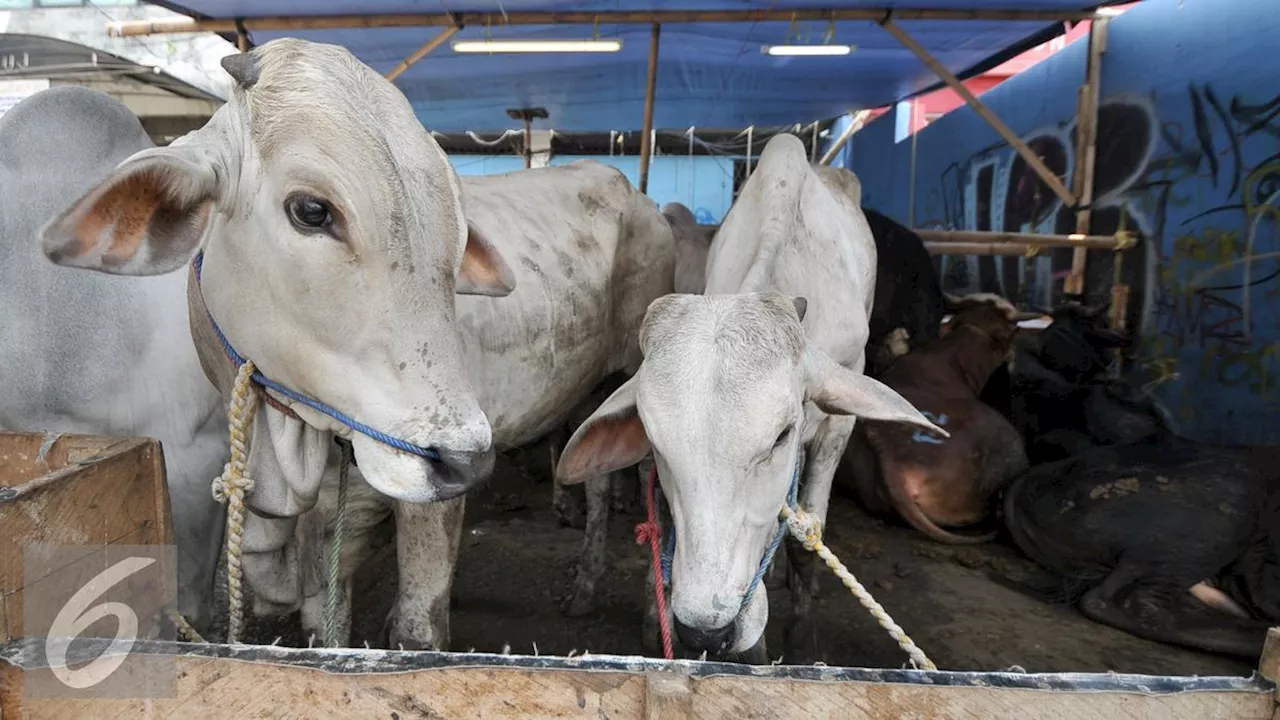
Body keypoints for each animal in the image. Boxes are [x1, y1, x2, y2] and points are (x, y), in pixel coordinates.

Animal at [241, 161, 680, 645]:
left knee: (653, 489)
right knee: (597, 480)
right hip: (590, 386)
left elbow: (419, 624)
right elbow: (326, 622)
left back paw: (652, 621)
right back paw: (584, 590)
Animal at [555, 131, 936, 661]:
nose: (705, 632)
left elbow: (805, 538)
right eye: (654, 441)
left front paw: (802, 636)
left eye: (779, 436)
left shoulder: (838, 415)